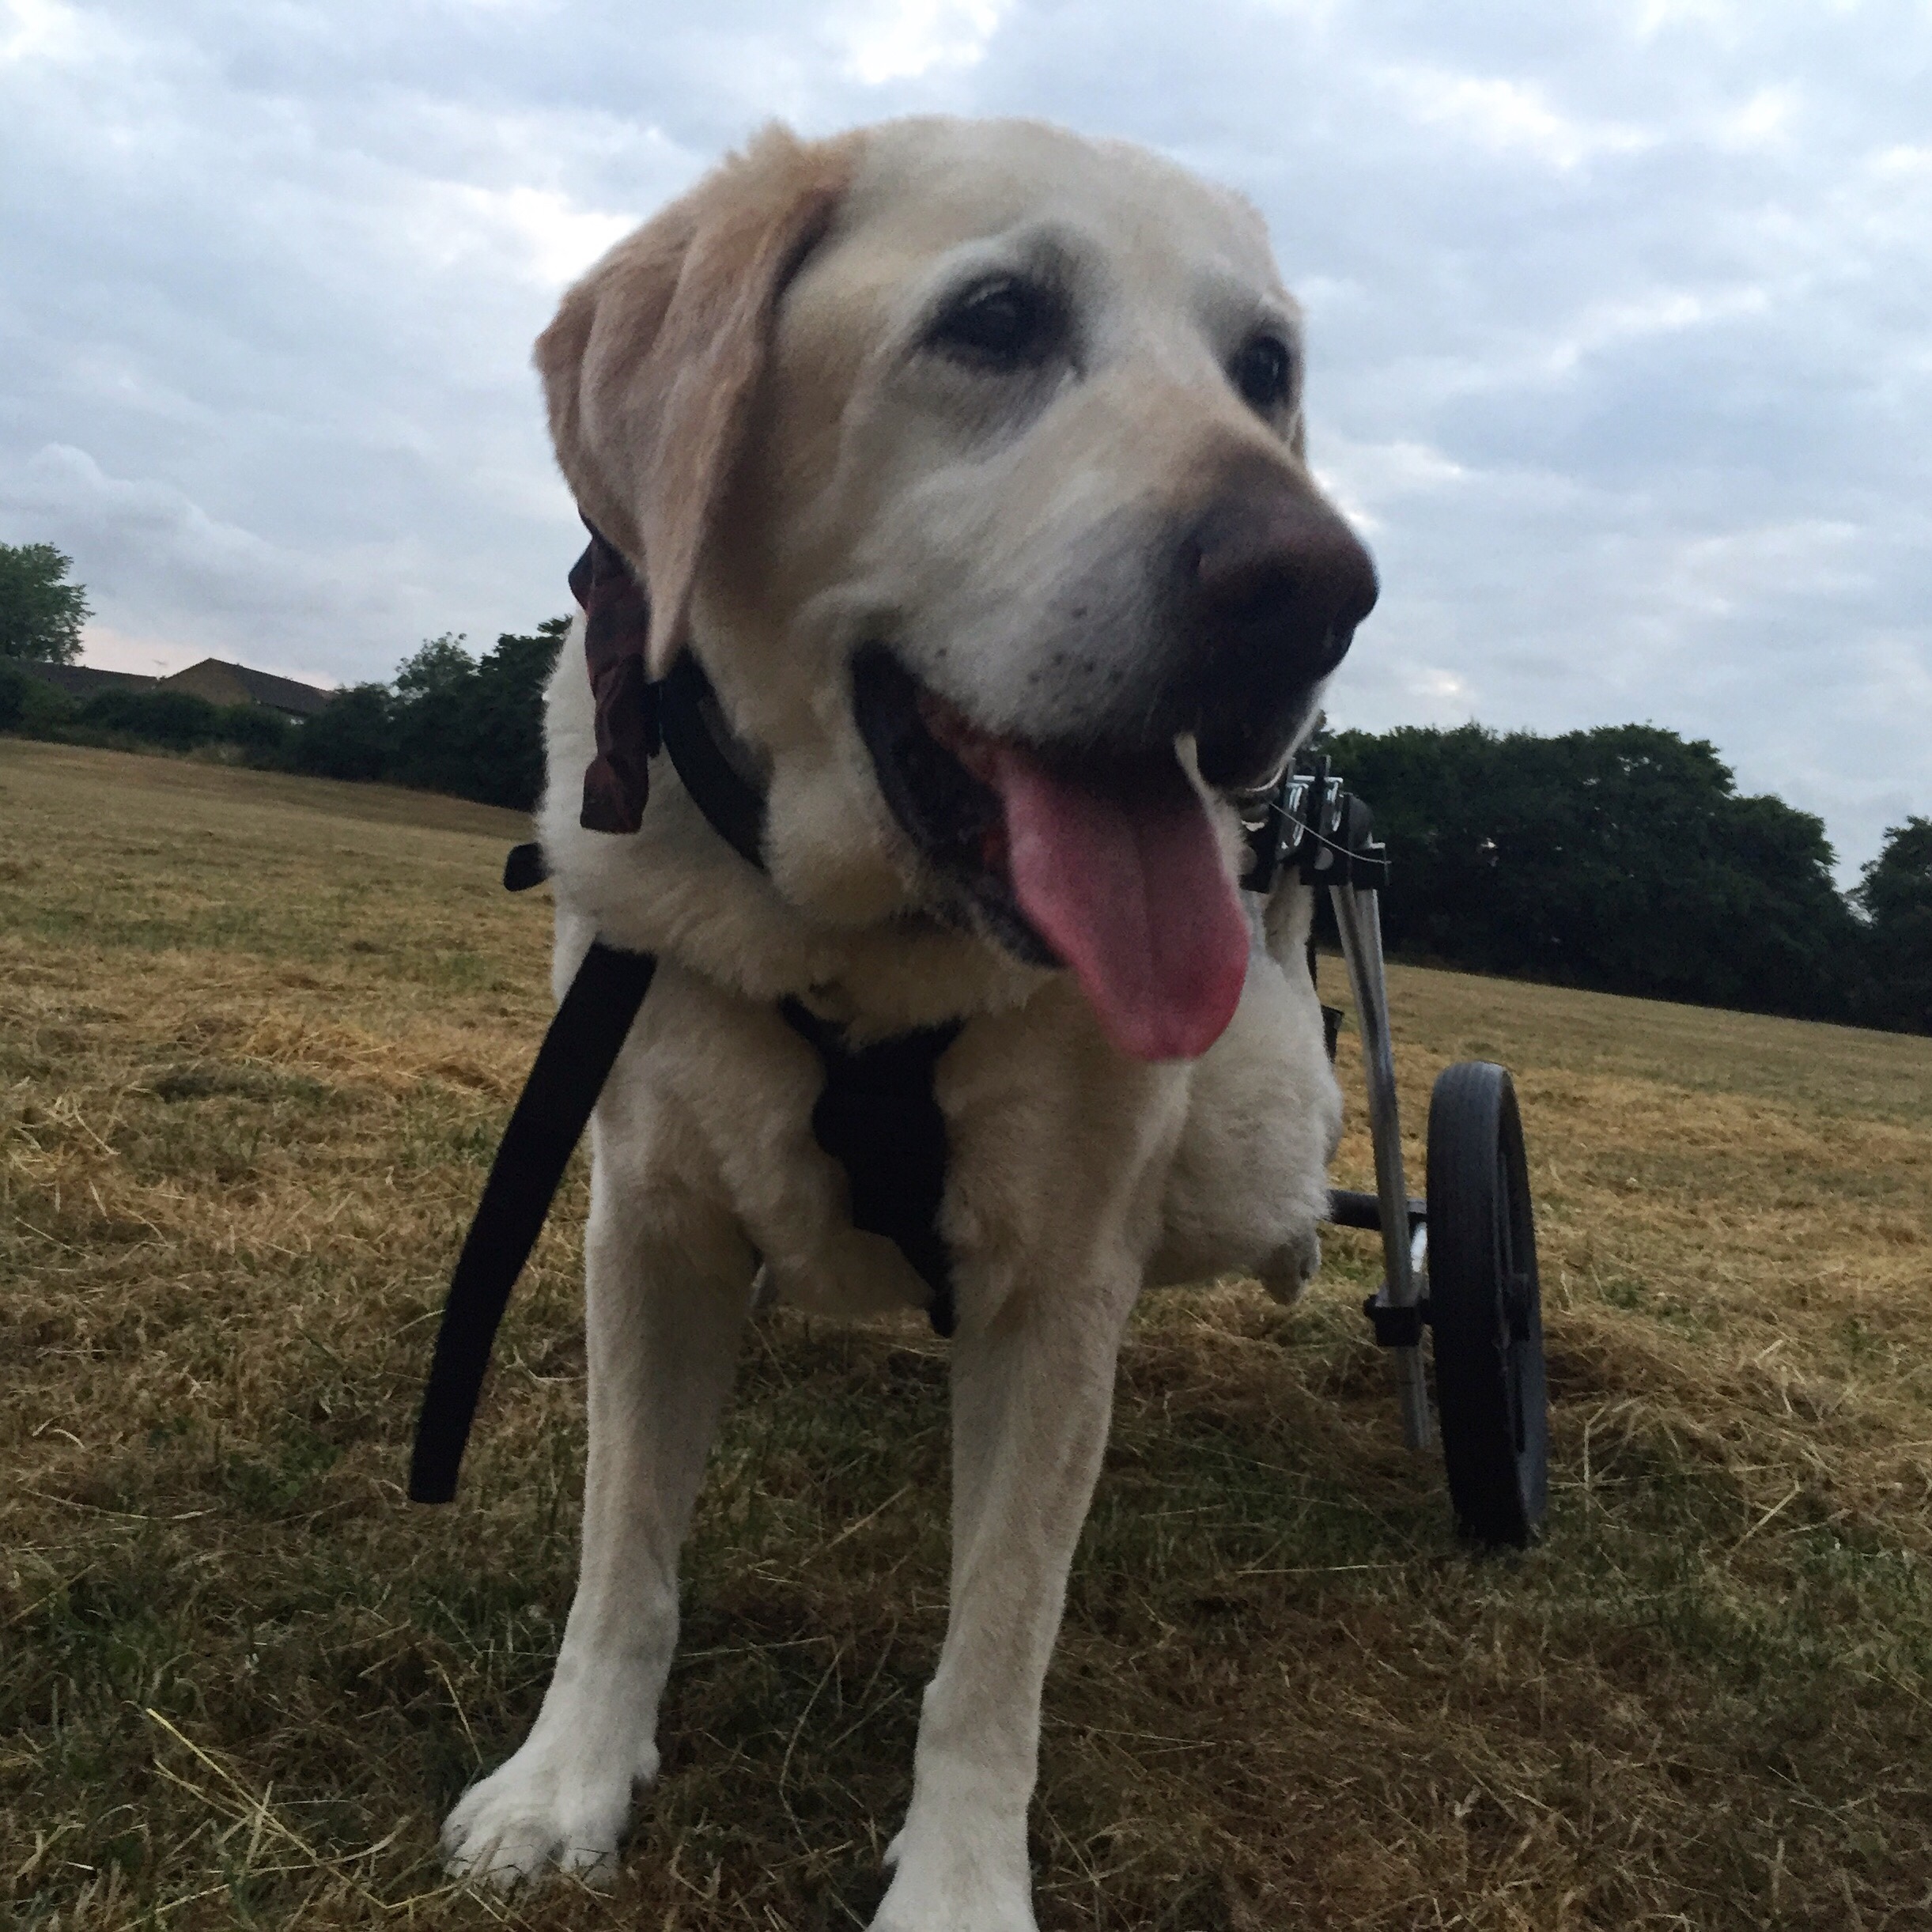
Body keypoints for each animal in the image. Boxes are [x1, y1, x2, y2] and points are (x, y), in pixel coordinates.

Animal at [439, 115, 1376, 1931]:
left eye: (1264, 369)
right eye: (996, 319)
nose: (1316, 591)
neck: (854, 944)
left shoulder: (1056, 1292)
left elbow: (995, 1647)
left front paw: (956, 1887)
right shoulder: (645, 1226)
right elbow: (621, 1551)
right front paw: (566, 1783)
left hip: (1246, 1140)